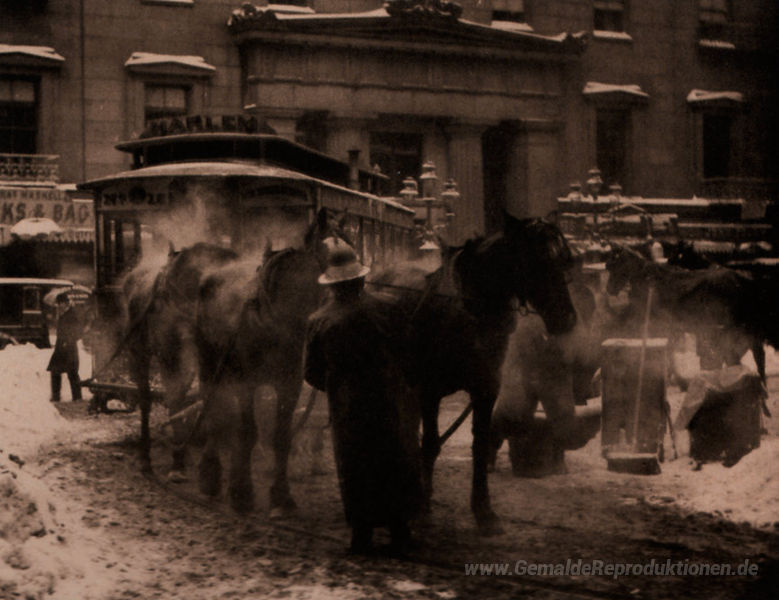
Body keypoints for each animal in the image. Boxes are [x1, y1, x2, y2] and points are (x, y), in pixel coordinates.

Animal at [121, 242, 240, 475]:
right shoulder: (172, 354)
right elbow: (176, 397)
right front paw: (178, 463)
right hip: (139, 350)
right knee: (146, 397)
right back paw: (146, 456)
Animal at [193, 208, 349, 514]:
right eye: (331, 251)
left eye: (353, 244)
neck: (276, 315)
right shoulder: (247, 383)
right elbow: (248, 432)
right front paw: (241, 493)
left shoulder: (289, 384)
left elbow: (280, 437)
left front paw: (281, 497)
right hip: (209, 366)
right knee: (213, 411)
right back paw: (211, 476)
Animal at [367, 214, 577, 532]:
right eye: (536, 260)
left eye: (562, 259)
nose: (567, 319)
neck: (468, 312)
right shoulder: (430, 391)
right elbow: (431, 444)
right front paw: (424, 509)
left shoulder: (485, 390)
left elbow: (479, 445)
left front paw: (484, 512)